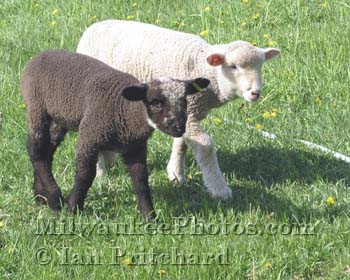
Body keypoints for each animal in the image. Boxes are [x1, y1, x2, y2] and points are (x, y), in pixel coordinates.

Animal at [77, 20, 282, 199]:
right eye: (233, 66)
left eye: (260, 65)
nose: (255, 92)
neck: (205, 70)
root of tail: (92, 27)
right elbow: (206, 145)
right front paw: (219, 189)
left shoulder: (188, 113)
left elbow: (182, 143)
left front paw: (175, 174)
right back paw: (100, 172)